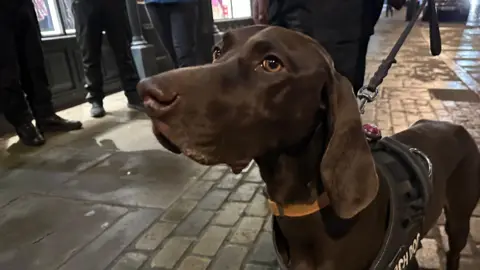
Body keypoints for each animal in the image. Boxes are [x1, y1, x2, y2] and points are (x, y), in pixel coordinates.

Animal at [137, 25, 480, 270]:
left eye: (271, 63)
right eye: (217, 51)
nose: (148, 92)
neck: (304, 208)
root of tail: (454, 126)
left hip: (459, 222)